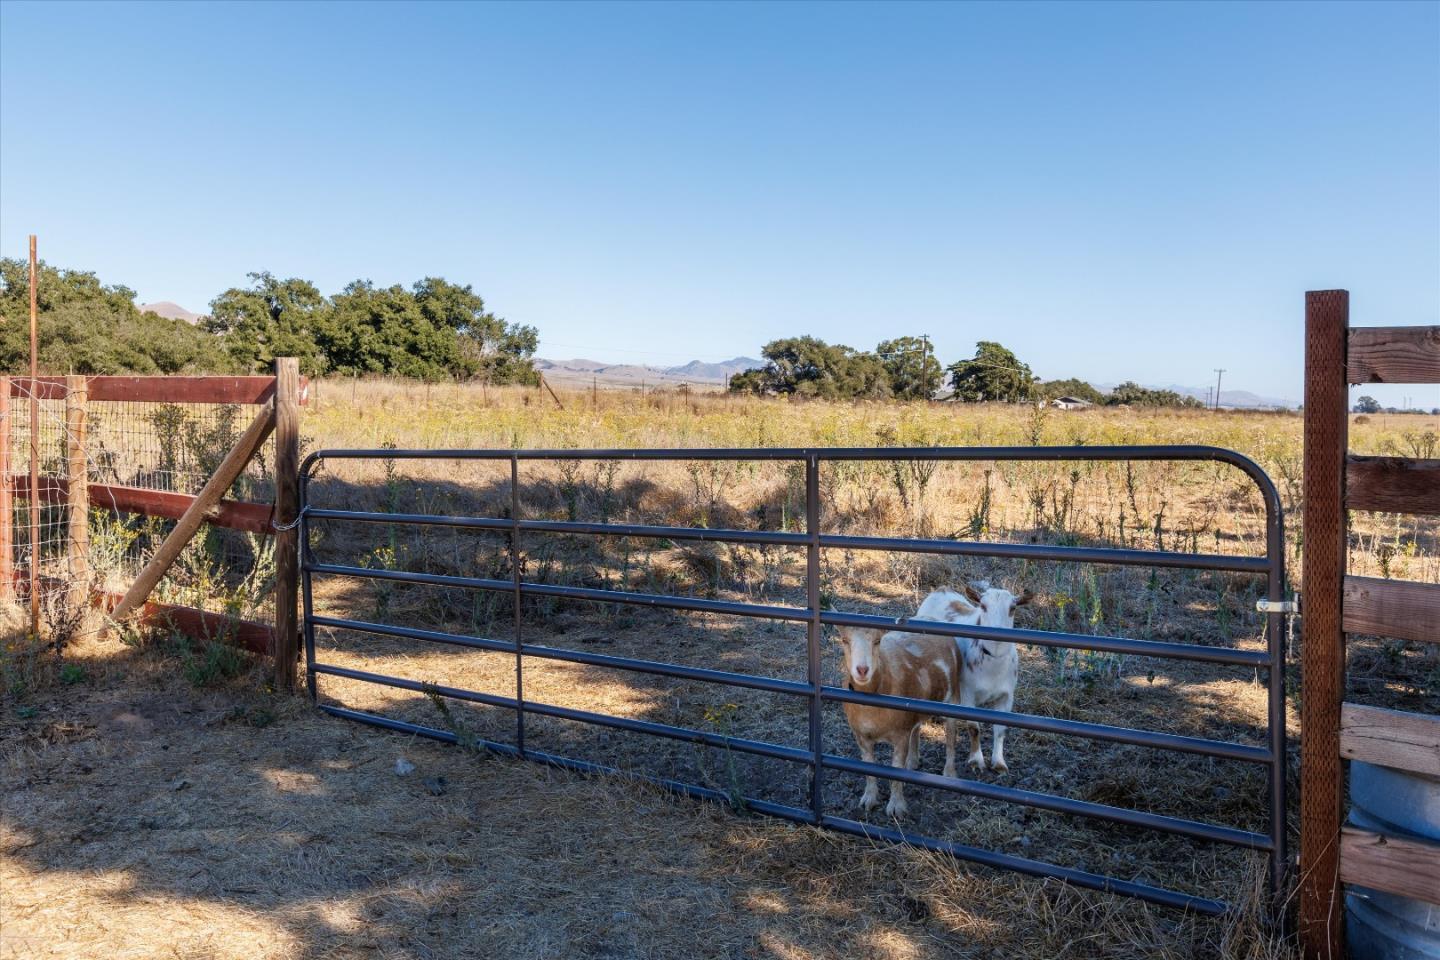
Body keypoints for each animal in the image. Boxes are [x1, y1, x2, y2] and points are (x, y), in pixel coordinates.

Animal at [835, 627, 956, 823]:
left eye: (877, 641)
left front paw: (896, 807)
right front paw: (869, 799)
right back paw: (912, 762)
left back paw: (950, 773)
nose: (862, 670)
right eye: (845, 640)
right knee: (916, 729)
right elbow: (868, 766)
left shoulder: (900, 735)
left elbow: (896, 770)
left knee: (951, 737)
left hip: (953, 698)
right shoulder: (860, 735)